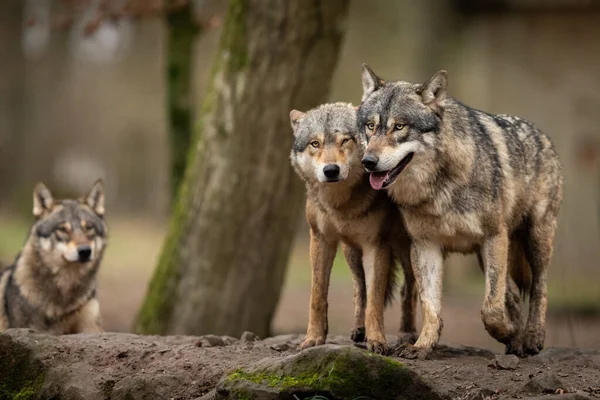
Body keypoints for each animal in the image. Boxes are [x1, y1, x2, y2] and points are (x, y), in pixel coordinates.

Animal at [290, 101, 418, 354]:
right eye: (315, 143)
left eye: (345, 141)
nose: (331, 170)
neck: (340, 205)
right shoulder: (320, 240)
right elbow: (318, 296)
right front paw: (313, 338)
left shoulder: (376, 246)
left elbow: (376, 302)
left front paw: (377, 340)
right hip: (351, 254)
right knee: (360, 289)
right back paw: (359, 329)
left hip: (408, 252)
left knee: (409, 290)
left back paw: (407, 334)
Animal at [358, 65, 564, 360]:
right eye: (370, 126)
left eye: (399, 126)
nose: (368, 162)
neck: (439, 186)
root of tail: (543, 136)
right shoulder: (425, 246)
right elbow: (431, 305)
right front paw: (422, 346)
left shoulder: (493, 236)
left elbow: (490, 309)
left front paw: (507, 332)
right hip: (488, 254)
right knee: (511, 292)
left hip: (535, 240)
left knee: (539, 286)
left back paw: (532, 337)